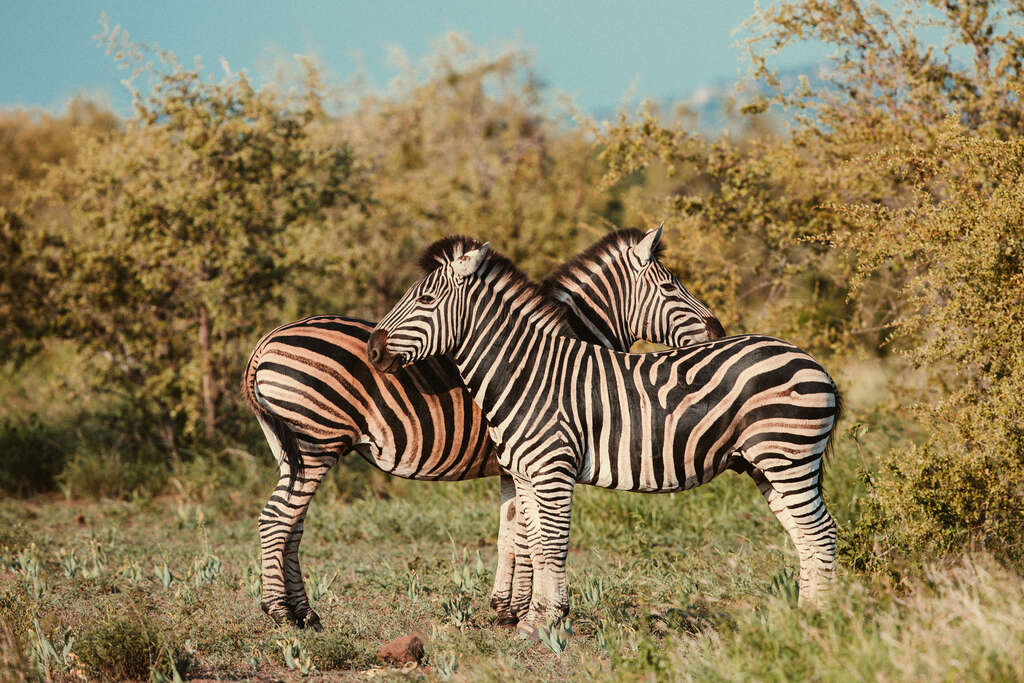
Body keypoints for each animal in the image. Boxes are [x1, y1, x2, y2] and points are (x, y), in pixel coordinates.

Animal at [240, 228, 724, 630]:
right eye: (670, 286)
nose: (718, 329)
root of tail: (267, 340)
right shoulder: (527, 457)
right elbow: (527, 535)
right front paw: (522, 611)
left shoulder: (514, 464)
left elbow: (509, 534)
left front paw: (505, 608)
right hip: (316, 443)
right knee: (277, 519)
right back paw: (281, 614)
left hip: (293, 450)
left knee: (291, 524)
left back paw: (305, 613)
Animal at [368, 239, 839, 634]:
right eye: (669, 285)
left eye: (425, 300)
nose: (373, 350)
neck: (526, 373)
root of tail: (810, 360)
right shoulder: (521, 473)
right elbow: (533, 543)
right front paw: (532, 619)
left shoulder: (552, 471)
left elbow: (551, 545)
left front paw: (547, 619)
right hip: (766, 465)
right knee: (804, 535)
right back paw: (804, 618)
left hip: (788, 456)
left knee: (821, 532)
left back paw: (820, 620)